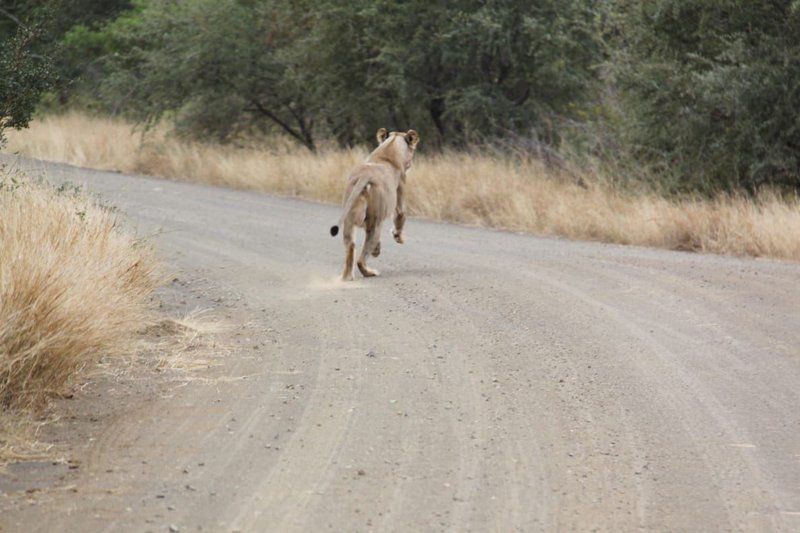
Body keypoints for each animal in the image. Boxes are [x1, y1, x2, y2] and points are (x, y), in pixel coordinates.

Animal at [330, 127, 422, 280]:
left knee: (351, 249)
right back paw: (371, 270)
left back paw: (346, 277)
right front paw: (398, 238)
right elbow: (400, 216)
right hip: (376, 222)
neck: (388, 150)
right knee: (361, 259)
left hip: (349, 218)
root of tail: (365, 176)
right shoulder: (401, 188)